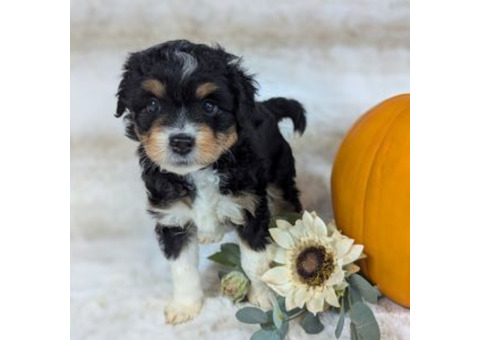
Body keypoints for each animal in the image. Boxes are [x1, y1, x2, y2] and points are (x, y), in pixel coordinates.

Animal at [114, 39, 306, 324]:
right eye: (152, 105)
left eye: (209, 106)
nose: (181, 141)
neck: (202, 171)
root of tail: (265, 107)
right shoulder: (172, 217)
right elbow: (182, 268)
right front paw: (185, 307)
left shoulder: (249, 208)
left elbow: (254, 262)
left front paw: (264, 298)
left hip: (279, 174)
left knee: (287, 200)